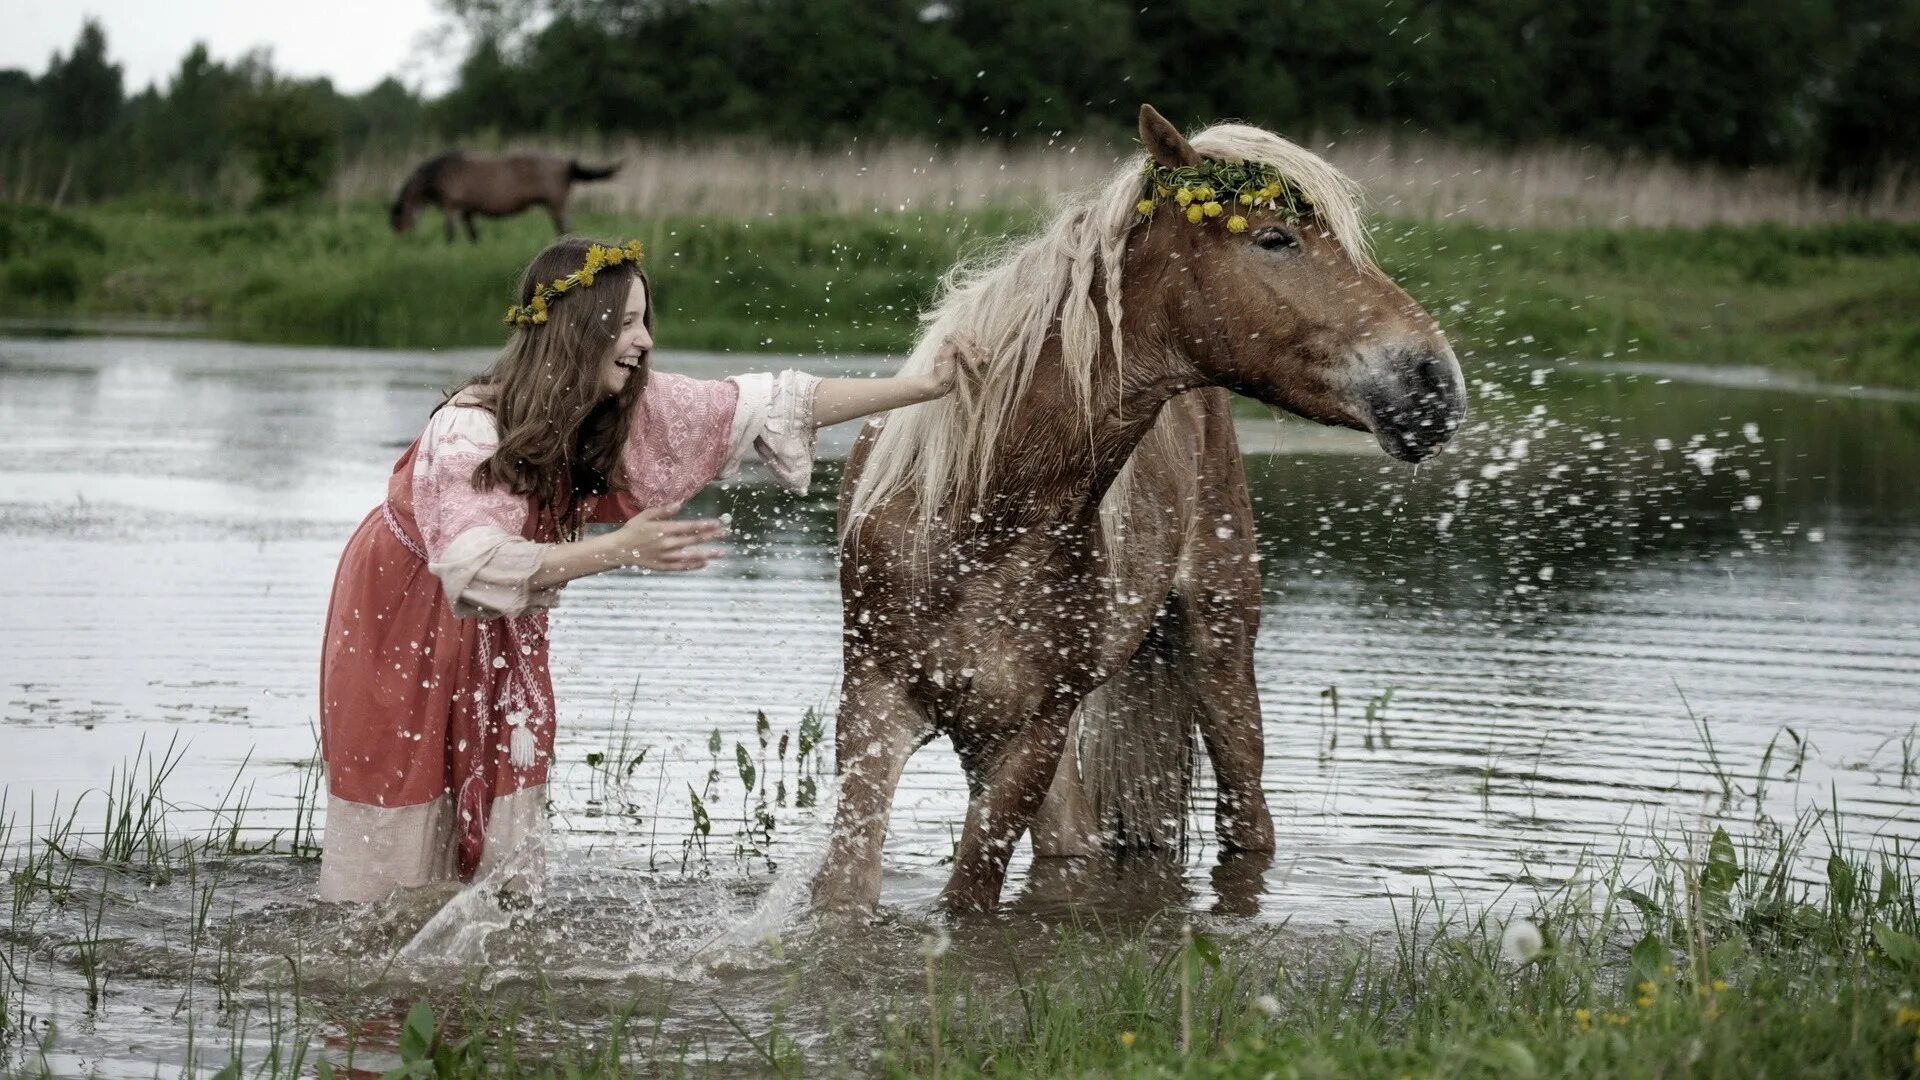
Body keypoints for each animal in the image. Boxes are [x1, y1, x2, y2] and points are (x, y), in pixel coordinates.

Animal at [389, 151, 622, 242]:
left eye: (397, 219)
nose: (400, 237)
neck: (441, 172)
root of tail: (567, 164)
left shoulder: (452, 207)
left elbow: (450, 233)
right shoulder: (467, 212)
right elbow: (473, 235)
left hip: (556, 206)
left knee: (564, 228)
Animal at [810, 107, 1466, 907]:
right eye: (1275, 238)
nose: (1435, 381)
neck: (979, 513)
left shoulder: (1030, 734)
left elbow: (968, 895)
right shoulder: (876, 710)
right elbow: (847, 896)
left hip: (1217, 652)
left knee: (1245, 820)